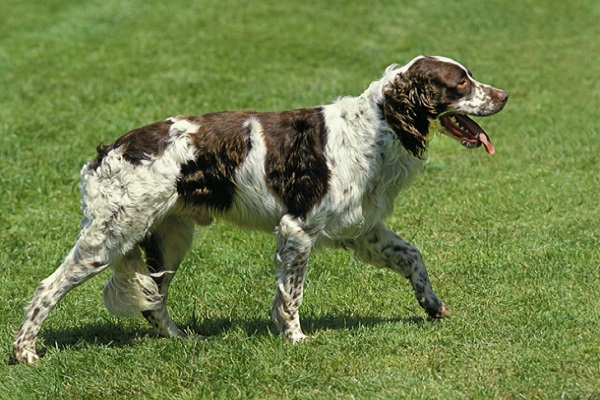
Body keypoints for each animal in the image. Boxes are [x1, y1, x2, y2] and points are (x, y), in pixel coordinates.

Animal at [11, 54, 506, 364]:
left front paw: (432, 306)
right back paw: (24, 353)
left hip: (170, 237)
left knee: (154, 301)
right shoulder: (298, 228)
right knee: (48, 287)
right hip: (111, 236)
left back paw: (181, 338)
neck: (375, 128)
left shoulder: (363, 228)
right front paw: (296, 339)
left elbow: (413, 257)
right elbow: (291, 295)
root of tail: (107, 152)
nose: (503, 96)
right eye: (461, 82)